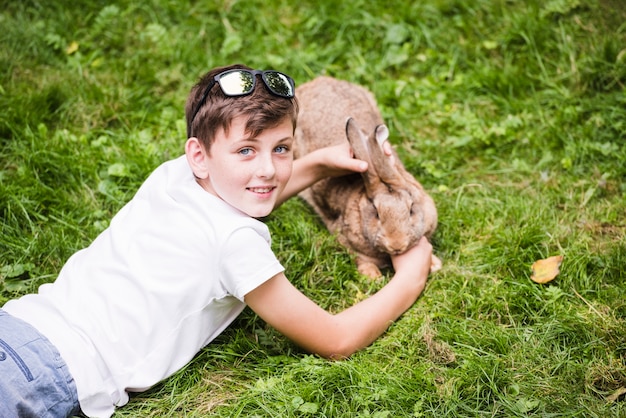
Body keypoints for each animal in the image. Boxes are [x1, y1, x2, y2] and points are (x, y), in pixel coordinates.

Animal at [292, 76, 438, 280]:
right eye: (376, 213)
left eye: (411, 210)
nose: (396, 244)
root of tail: (318, 81)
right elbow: (362, 260)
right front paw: (373, 277)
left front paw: (435, 264)